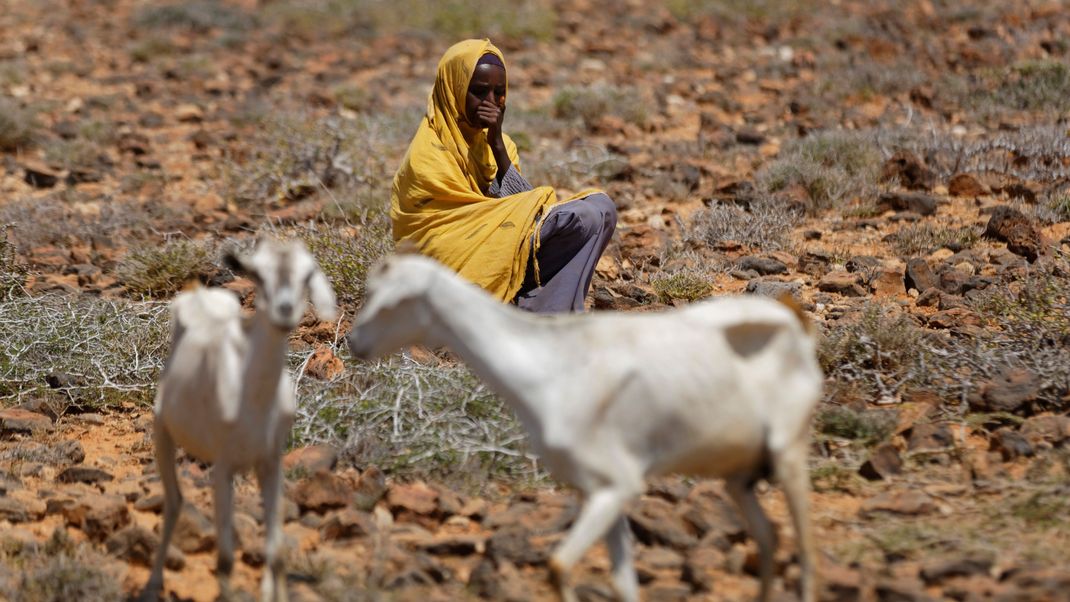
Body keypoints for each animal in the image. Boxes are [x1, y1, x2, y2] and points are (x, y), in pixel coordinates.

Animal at [142, 240, 333, 602]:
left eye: (307, 274)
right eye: (257, 274)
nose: (284, 310)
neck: (253, 401)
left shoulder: (270, 462)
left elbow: (277, 554)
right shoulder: (224, 468)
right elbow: (226, 560)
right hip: (163, 434)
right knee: (174, 501)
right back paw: (152, 584)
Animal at [346, 255, 821, 602]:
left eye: (393, 302)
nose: (355, 342)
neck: (553, 365)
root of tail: (794, 325)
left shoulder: (617, 486)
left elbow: (558, 566)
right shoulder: (594, 491)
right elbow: (621, 585)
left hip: (790, 454)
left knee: (804, 551)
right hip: (740, 477)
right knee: (769, 536)